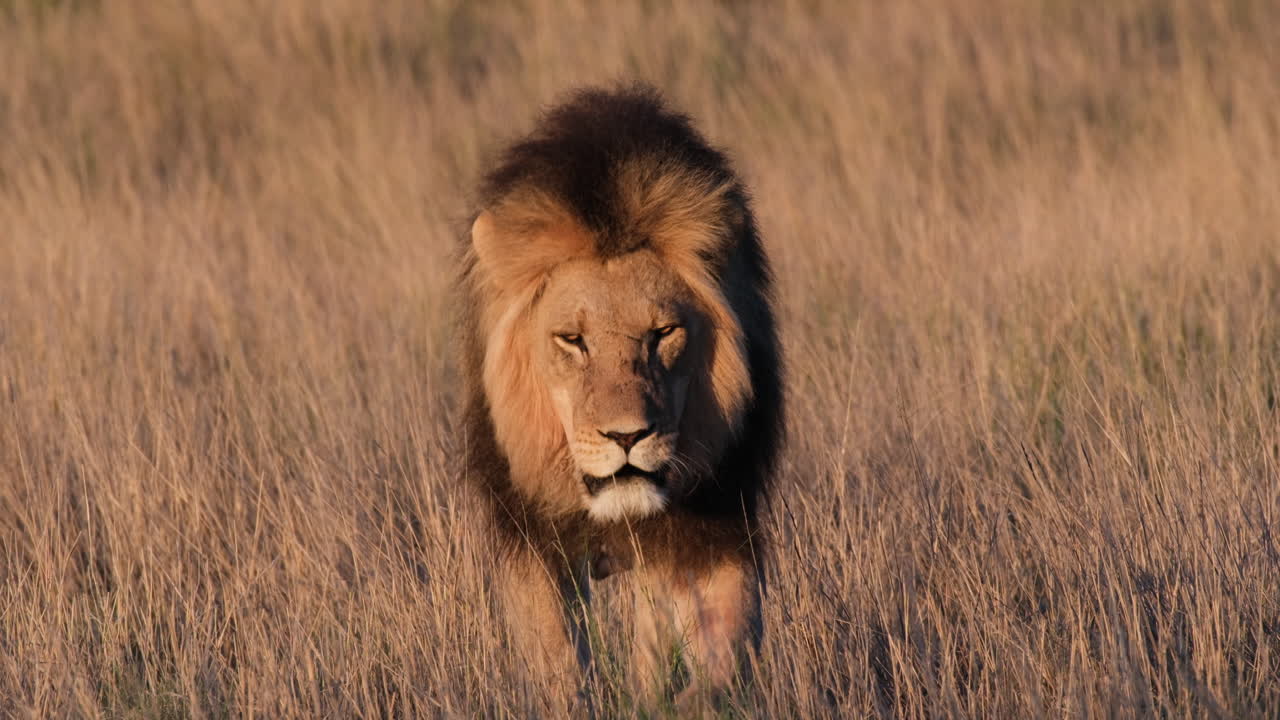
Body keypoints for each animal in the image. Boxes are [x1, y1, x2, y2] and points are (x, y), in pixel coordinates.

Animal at [457, 85, 783, 712]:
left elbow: (726, 646)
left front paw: (686, 703)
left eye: (663, 332)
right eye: (572, 340)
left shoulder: (715, 522)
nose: (627, 436)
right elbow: (557, 661)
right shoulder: (530, 535)